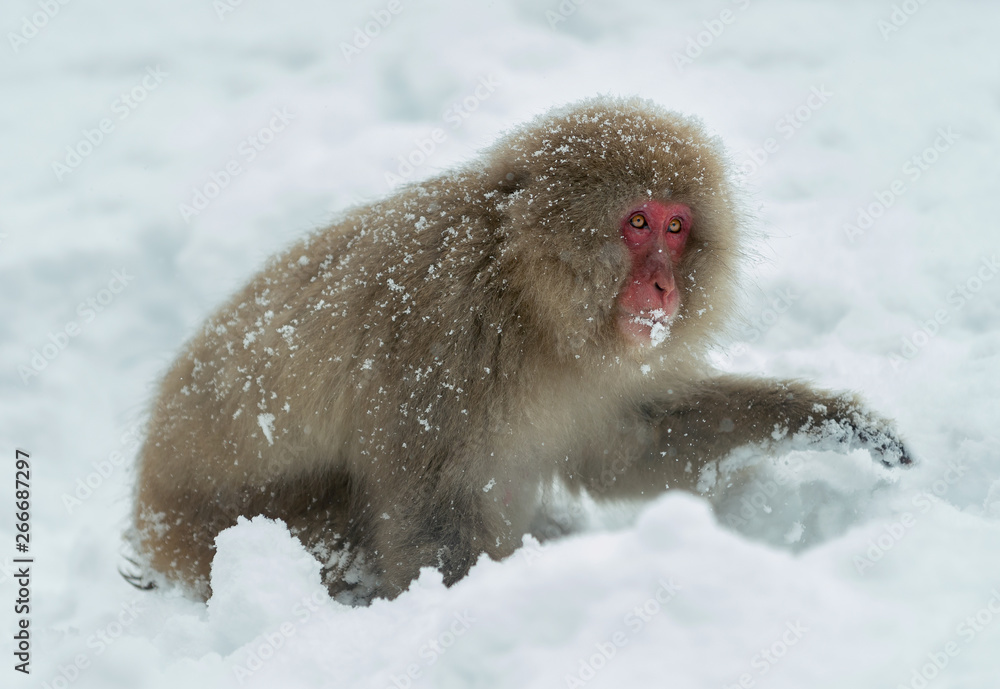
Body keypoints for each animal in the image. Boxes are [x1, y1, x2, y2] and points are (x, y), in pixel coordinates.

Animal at [129, 96, 911, 604]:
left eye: (678, 225)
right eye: (637, 222)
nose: (664, 286)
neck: (527, 301)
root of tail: (149, 510)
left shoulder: (594, 373)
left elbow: (627, 448)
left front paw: (828, 420)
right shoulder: (443, 337)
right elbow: (432, 518)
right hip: (216, 537)